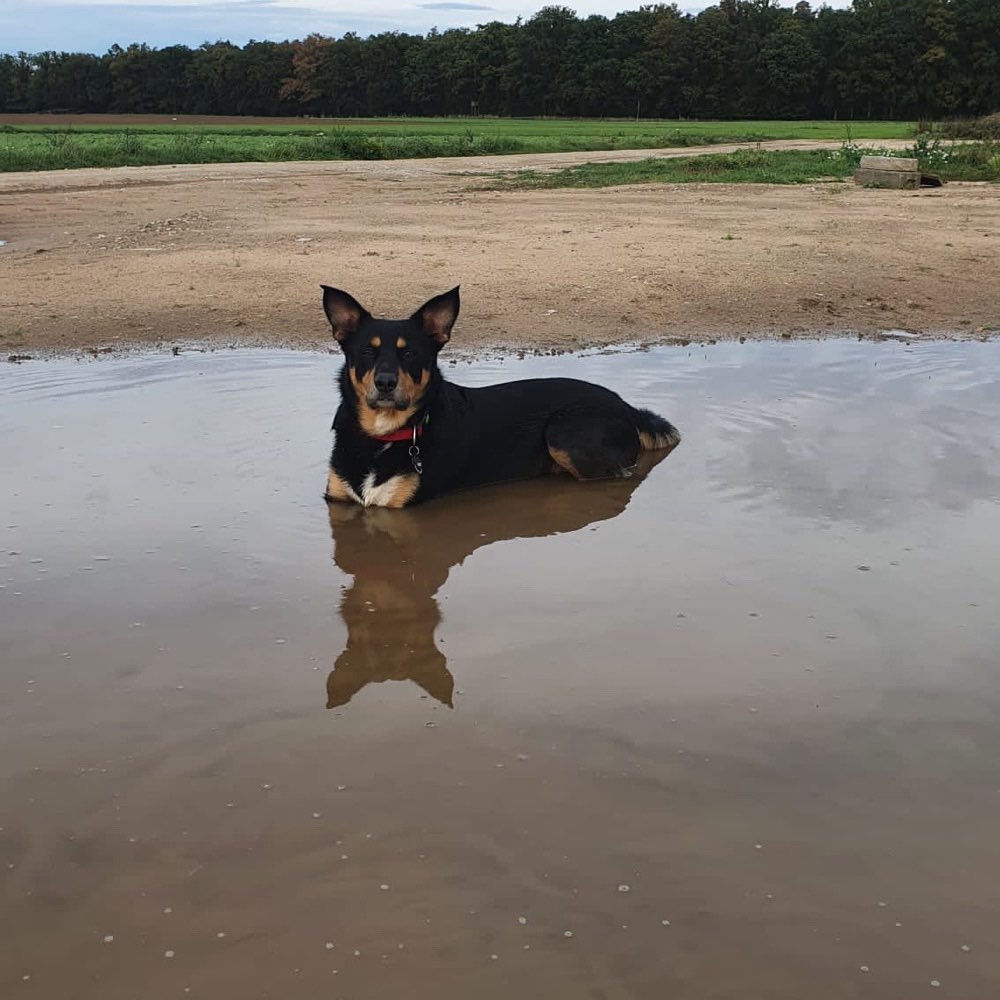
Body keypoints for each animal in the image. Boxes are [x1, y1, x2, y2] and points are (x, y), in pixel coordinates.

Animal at [324, 288, 684, 508]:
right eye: (366, 352)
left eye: (410, 353)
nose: (385, 383)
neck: (381, 436)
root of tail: (625, 405)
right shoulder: (337, 501)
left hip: (564, 432)